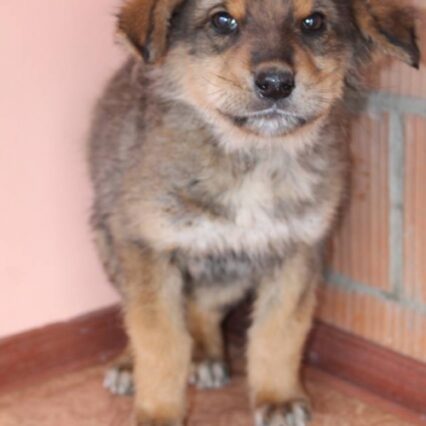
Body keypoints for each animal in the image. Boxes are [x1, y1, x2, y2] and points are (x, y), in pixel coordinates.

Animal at [88, 0, 420, 425]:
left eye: (313, 22)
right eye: (222, 20)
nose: (276, 84)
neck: (253, 157)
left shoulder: (297, 251)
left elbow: (278, 333)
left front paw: (276, 398)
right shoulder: (147, 249)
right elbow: (160, 341)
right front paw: (158, 413)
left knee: (203, 307)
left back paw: (207, 356)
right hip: (111, 244)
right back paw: (129, 365)